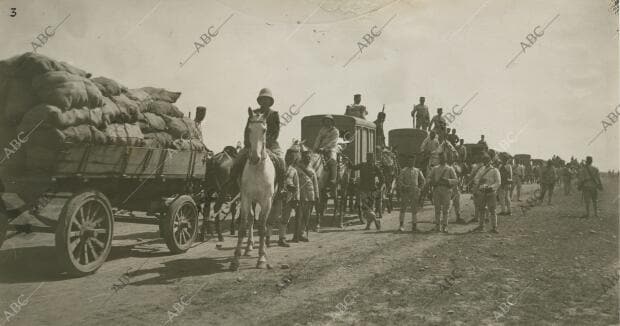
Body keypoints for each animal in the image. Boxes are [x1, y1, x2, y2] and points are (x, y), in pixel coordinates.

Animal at [229, 109, 274, 270]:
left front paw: (262, 258)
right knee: (251, 219)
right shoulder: (246, 198)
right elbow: (243, 226)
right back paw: (248, 247)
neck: (258, 171)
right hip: (251, 200)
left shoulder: (267, 201)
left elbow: (262, 227)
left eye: (264, 130)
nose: (255, 158)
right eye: (248, 129)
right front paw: (235, 260)